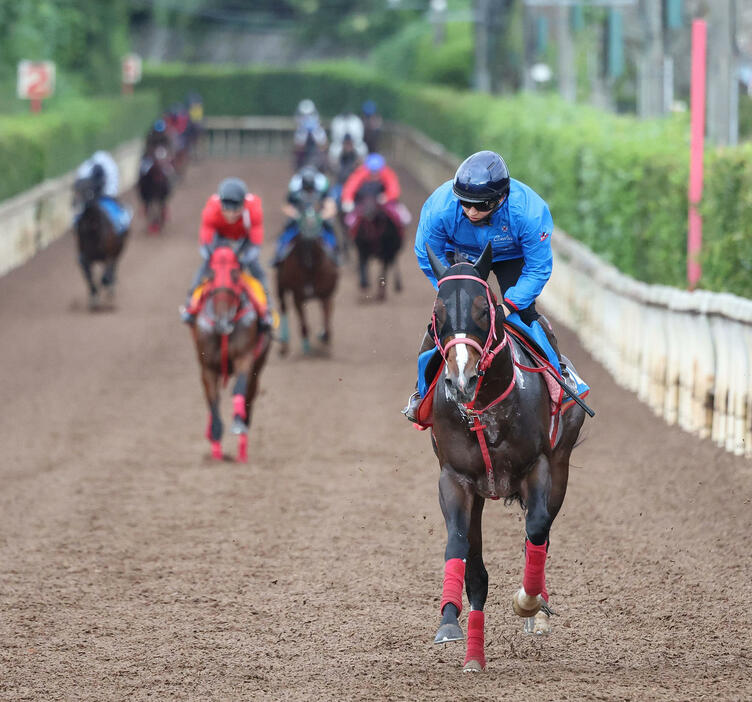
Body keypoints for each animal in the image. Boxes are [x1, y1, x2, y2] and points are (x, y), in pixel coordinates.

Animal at [72, 175, 129, 310]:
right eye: (74, 188)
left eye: (87, 188)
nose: (74, 203)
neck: (93, 232)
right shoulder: (85, 257)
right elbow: (89, 276)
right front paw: (94, 297)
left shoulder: (109, 254)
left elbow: (105, 277)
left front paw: (107, 287)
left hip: (119, 249)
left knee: (113, 268)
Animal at [187, 242, 270, 462]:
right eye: (211, 274)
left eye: (235, 274)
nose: (223, 321)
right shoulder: (207, 367)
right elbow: (213, 400)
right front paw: (215, 438)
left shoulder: (245, 358)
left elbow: (238, 389)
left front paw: (237, 424)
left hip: (258, 366)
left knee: (249, 397)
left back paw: (242, 446)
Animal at [276, 204, 338, 358]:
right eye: (301, 237)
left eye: (317, 236)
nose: (308, 261)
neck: (310, 272)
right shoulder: (298, 296)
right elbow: (304, 325)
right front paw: (306, 346)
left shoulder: (327, 295)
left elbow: (327, 326)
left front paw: (323, 337)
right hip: (280, 285)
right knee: (283, 307)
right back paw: (284, 345)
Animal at [420, 245, 592, 672]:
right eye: (438, 312)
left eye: (484, 309)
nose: (460, 380)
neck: (484, 409)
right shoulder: (456, 479)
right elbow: (460, 548)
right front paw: (449, 623)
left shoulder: (539, 468)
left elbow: (537, 531)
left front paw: (529, 603)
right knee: (478, 567)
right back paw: (474, 655)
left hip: (561, 467)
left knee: (541, 534)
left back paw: (539, 609)